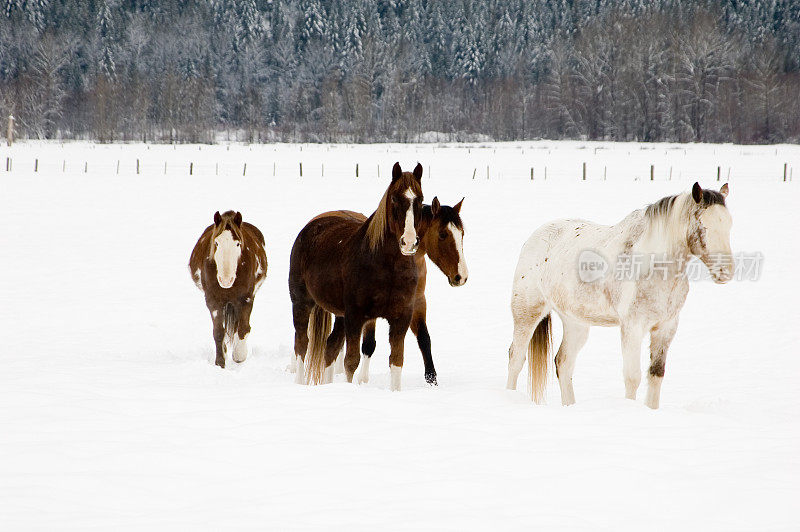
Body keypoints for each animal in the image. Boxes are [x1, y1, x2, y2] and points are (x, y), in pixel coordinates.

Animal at [189, 210, 268, 368]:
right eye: (216, 243)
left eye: (237, 244)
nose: (226, 280)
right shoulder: (213, 302)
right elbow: (219, 332)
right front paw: (220, 362)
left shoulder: (246, 299)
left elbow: (243, 329)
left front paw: (239, 355)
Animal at [288, 162, 424, 390]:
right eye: (395, 198)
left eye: (420, 199)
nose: (409, 242)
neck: (387, 267)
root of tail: (310, 228)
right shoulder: (356, 316)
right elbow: (351, 361)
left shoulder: (400, 318)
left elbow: (396, 362)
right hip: (302, 303)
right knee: (302, 345)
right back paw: (299, 383)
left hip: (340, 315)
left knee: (330, 346)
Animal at [510, 181, 736, 410]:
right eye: (703, 225)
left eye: (729, 225)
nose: (725, 272)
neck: (654, 266)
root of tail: (536, 236)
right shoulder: (633, 327)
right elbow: (632, 377)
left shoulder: (666, 327)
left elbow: (656, 375)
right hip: (527, 313)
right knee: (516, 357)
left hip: (575, 322)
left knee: (564, 363)